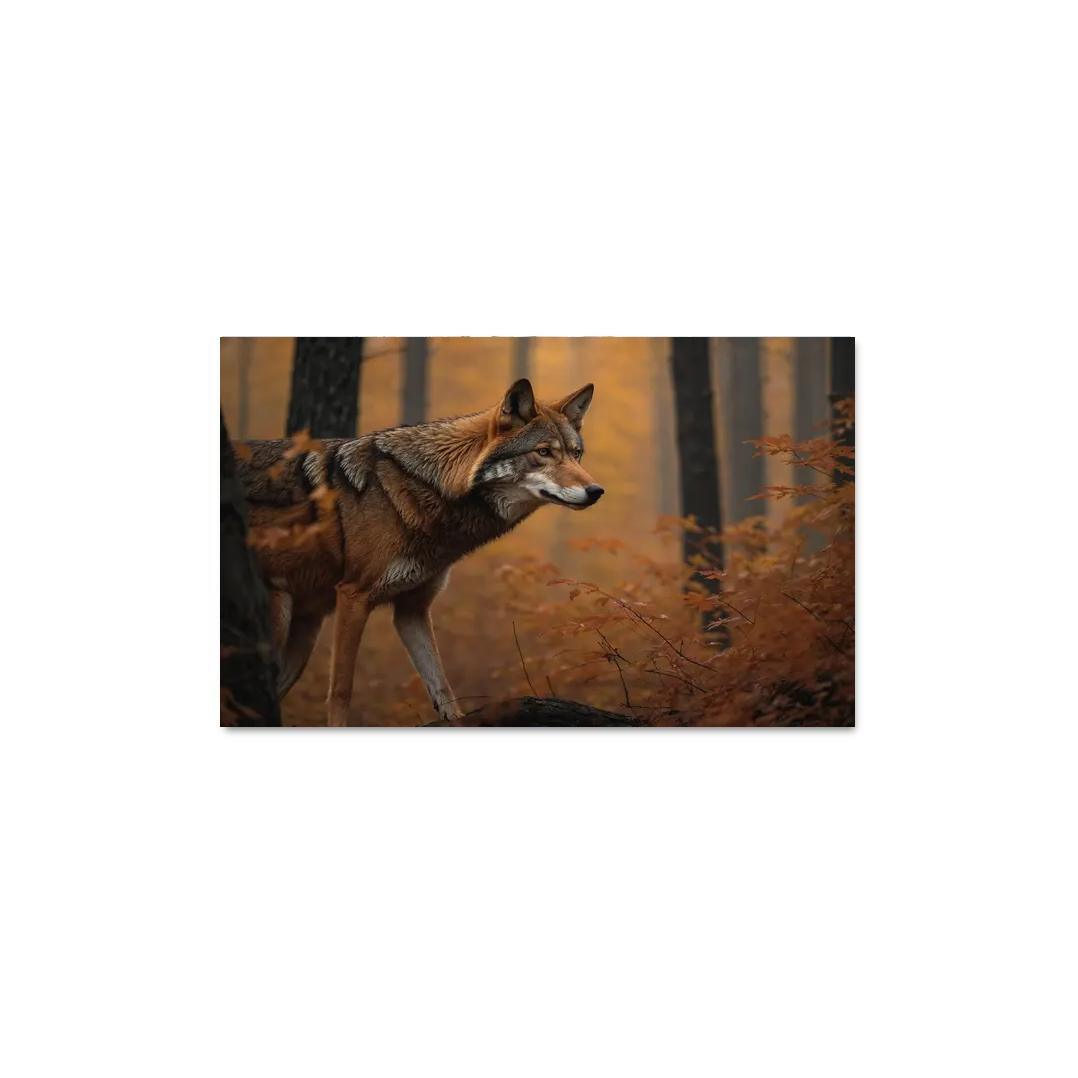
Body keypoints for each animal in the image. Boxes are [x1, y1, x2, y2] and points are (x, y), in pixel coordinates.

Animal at [235, 379, 603, 725]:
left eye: (577, 453)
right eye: (544, 452)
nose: (596, 490)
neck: (428, 488)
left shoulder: (412, 609)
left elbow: (443, 688)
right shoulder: (353, 596)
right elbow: (341, 690)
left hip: (303, 633)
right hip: (279, 621)